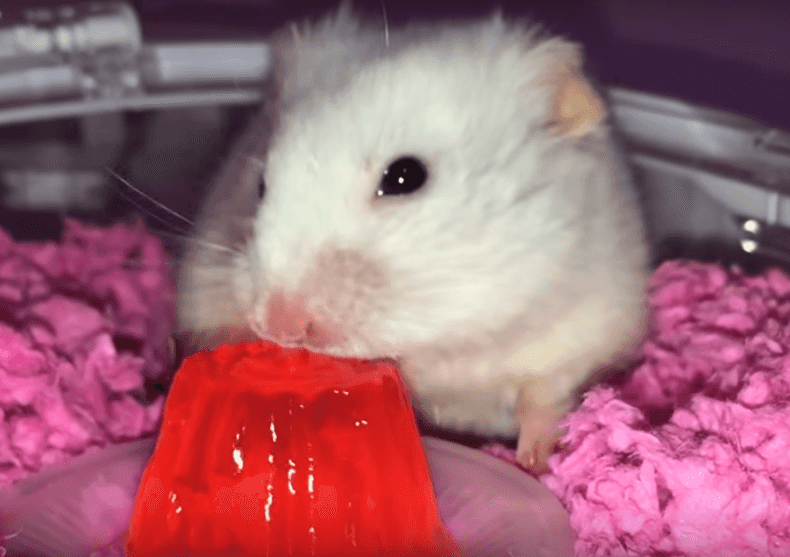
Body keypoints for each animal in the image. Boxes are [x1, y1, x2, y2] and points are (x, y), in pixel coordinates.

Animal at [178, 4, 648, 472]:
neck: (444, 341)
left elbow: (545, 394)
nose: (279, 325)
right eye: (260, 184)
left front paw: (533, 462)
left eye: (406, 176)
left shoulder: (586, 328)